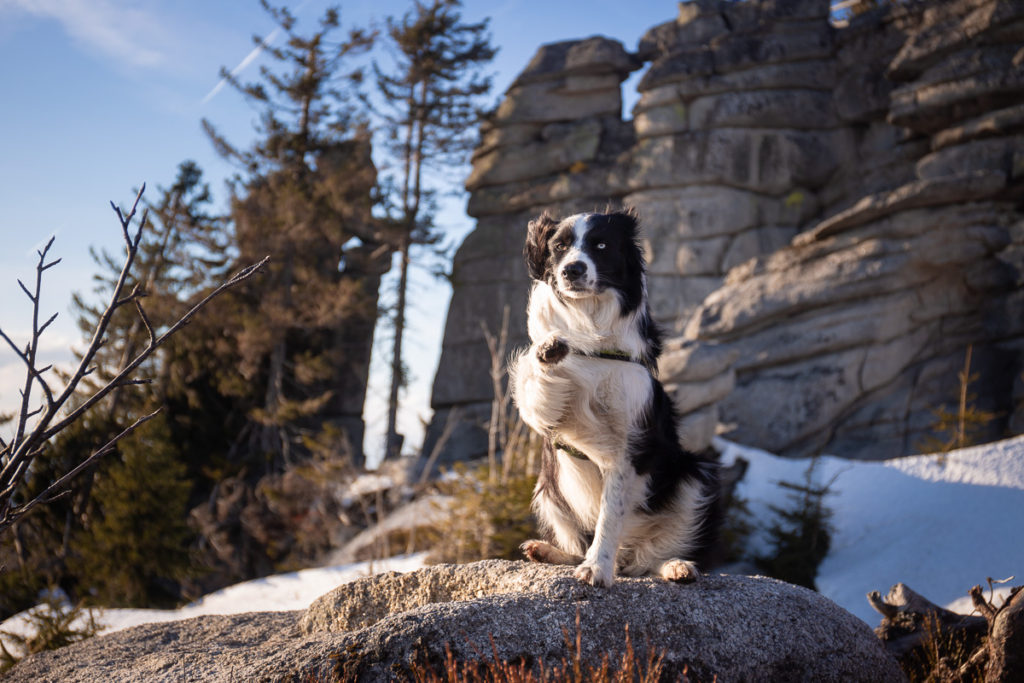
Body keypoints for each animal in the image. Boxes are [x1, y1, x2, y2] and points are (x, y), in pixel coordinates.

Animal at [507, 208, 716, 589]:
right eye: (559, 247)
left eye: (601, 245)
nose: (572, 270)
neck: (590, 324)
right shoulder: (547, 413)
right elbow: (539, 389)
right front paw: (550, 350)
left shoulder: (629, 444)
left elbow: (610, 514)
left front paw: (597, 569)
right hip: (547, 489)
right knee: (580, 546)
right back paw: (545, 551)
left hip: (697, 474)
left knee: (649, 558)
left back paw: (675, 566)